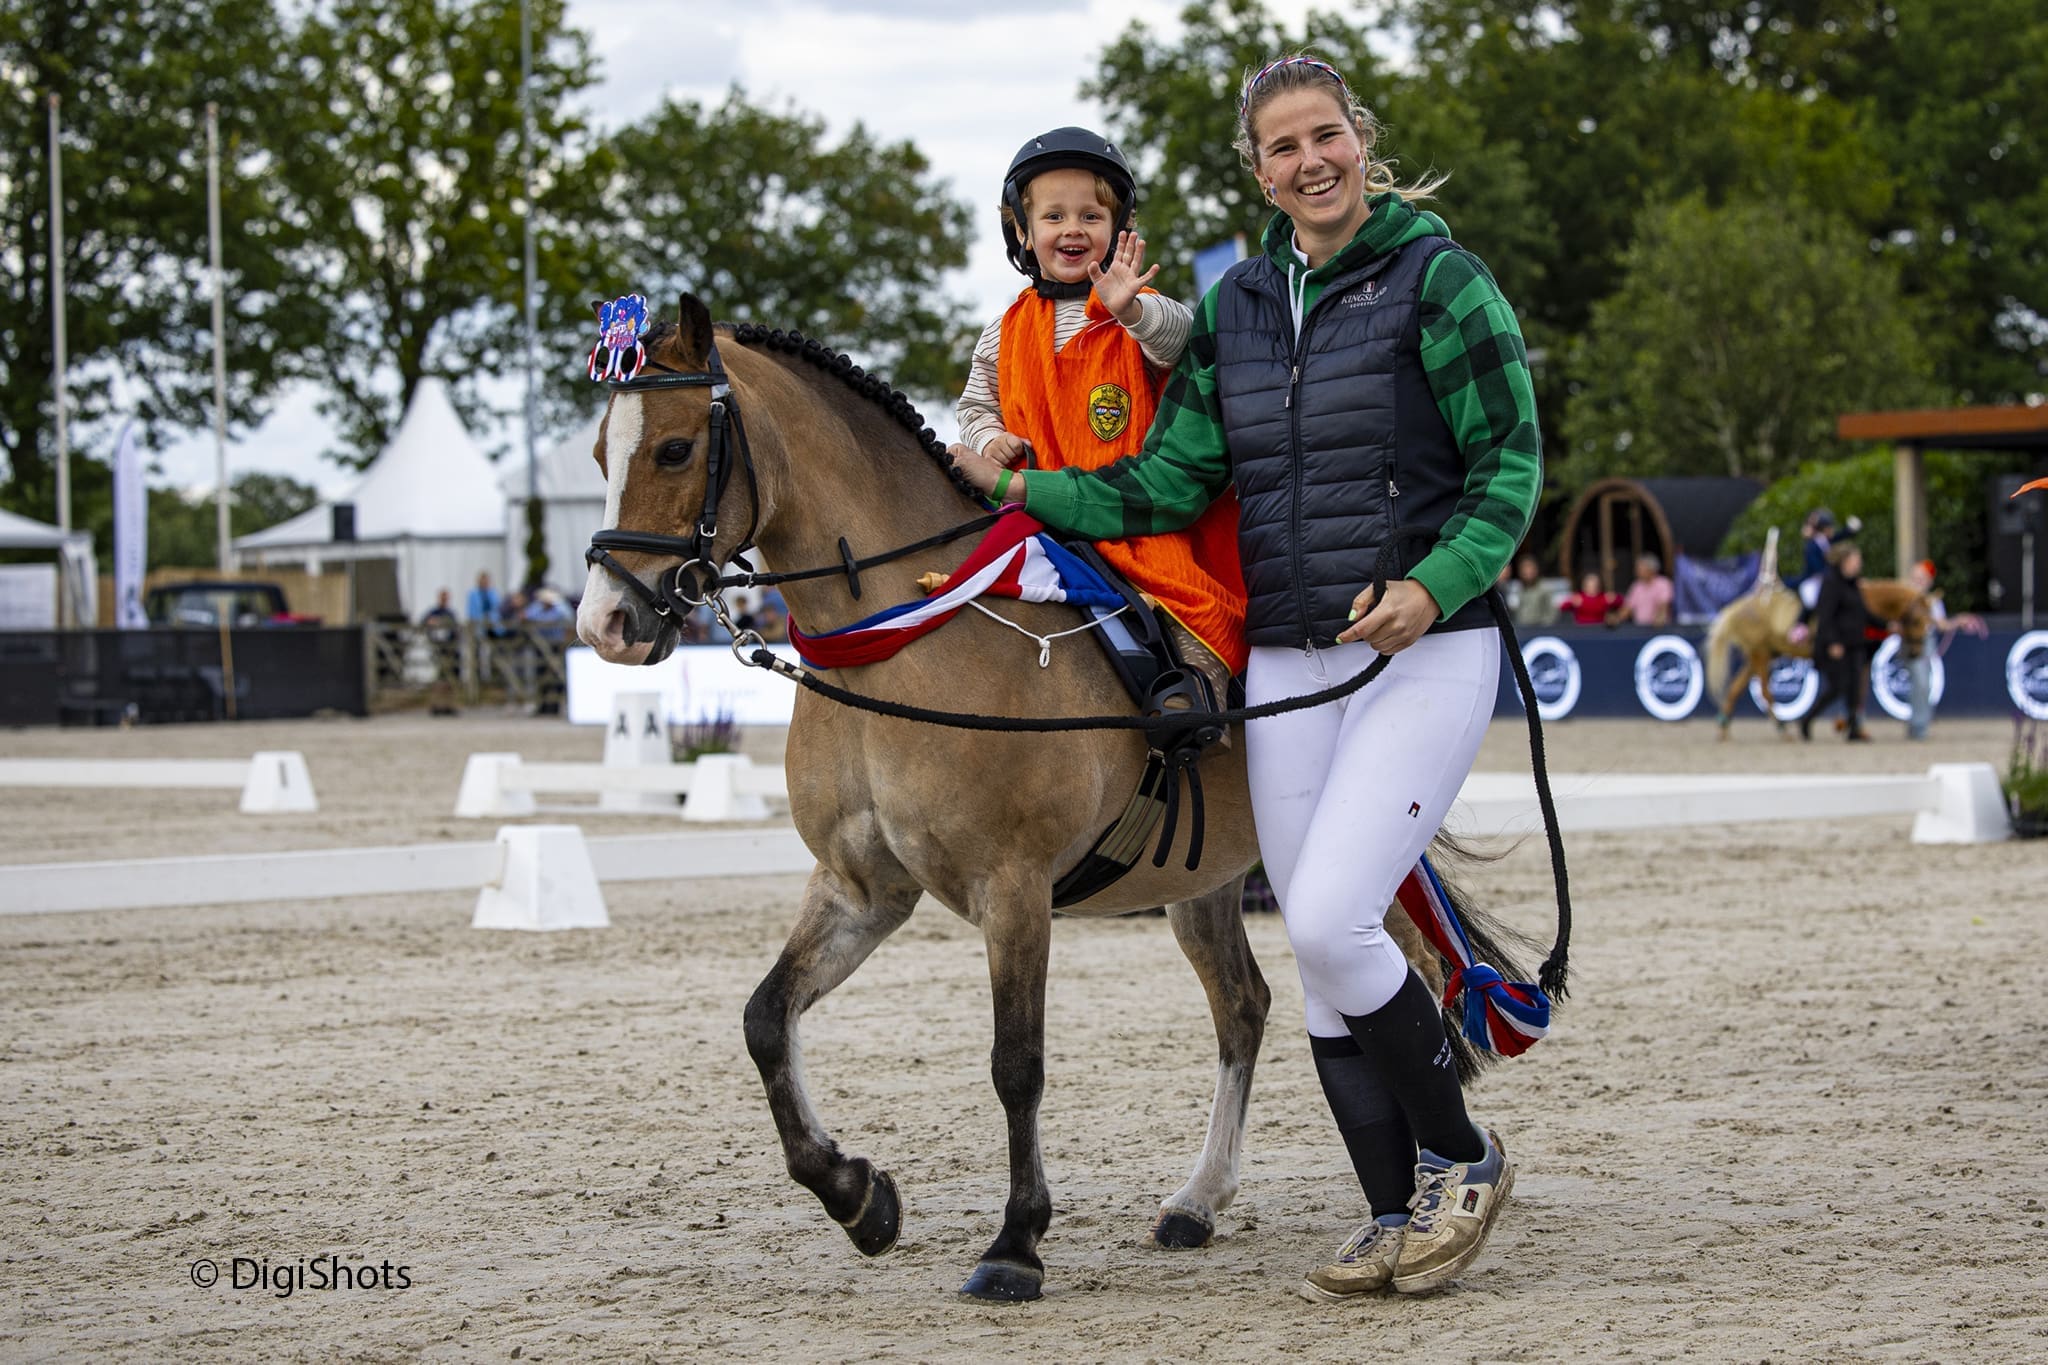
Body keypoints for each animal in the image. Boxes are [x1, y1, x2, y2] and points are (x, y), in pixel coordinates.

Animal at [1704, 578, 1932, 736]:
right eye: (1916, 620)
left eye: (1928, 622)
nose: (1916, 652)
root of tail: (1735, 607)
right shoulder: (1859, 658)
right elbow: (1855, 691)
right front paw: (1851, 727)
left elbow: (1855, 691)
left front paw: (1851, 727)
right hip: (1760, 654)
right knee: (1764, 691)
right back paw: (1782, 729)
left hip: (1762, 654)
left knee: (1735, 688)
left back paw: (1724, 730)